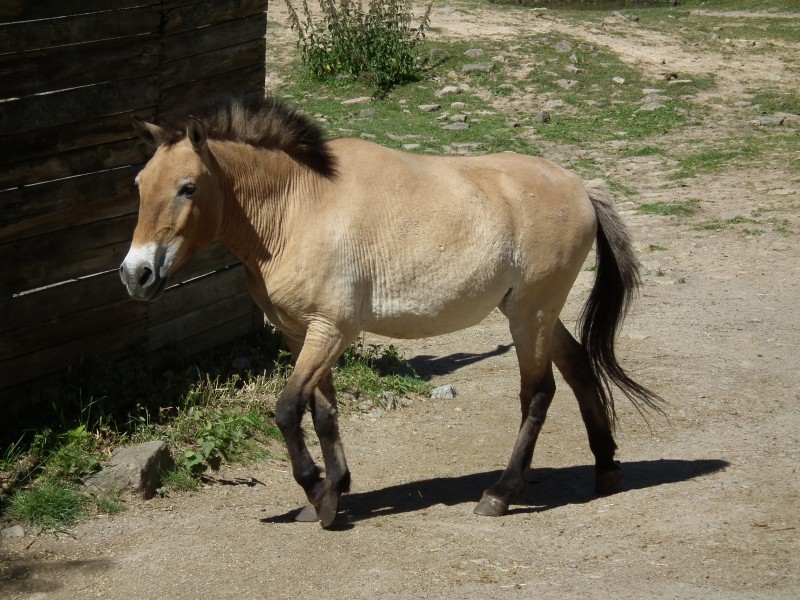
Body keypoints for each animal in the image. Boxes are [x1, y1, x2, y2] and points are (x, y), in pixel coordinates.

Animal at [120, 94, 662, 528]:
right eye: (141, 183)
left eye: (188, 187)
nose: (135, 274)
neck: (299, 207)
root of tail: (580, 187)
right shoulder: (302, 334)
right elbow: (324, 415)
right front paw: (332, 492)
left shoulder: (331, 331)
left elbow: (288, 410)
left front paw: (318, 491)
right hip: (538, 313)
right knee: (579, 368)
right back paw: (605, 467)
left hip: (529, 316)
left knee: (539, 394)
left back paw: (500, 494)